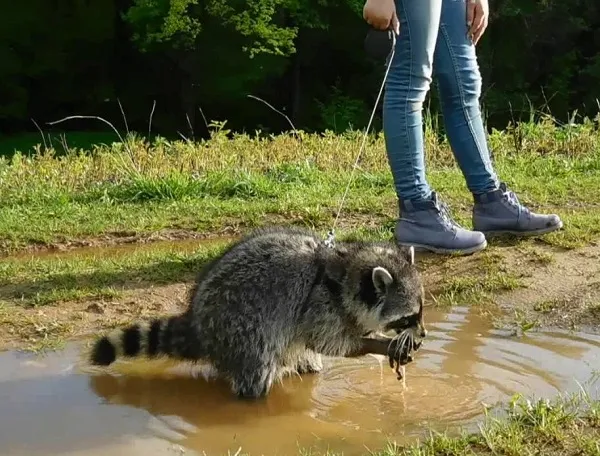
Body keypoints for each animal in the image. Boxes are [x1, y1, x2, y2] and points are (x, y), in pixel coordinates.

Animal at [88, 227, 426, 400]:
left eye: (420, 312)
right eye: (408, 317)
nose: (423, 335)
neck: (344, 273)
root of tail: (199, 323)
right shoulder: (318, 304)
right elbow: (328, 341)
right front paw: (375, 343)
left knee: (302, 356)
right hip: (240, 326)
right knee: (258, 362)